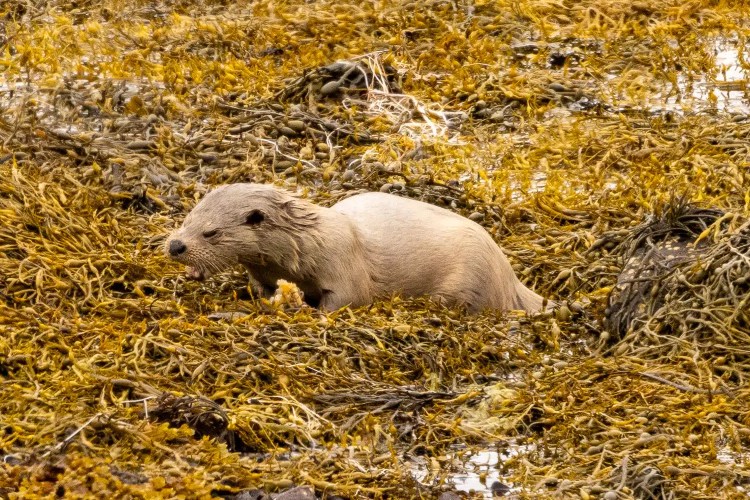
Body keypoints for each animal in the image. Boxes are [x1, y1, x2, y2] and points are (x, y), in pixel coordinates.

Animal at [165, 183, 546, 313]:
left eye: (211, 232)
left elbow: (348, 299)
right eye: (188, 219)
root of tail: (510, 278)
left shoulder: (343, 265)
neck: (304, 246)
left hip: (474, 276)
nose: (175, 245)